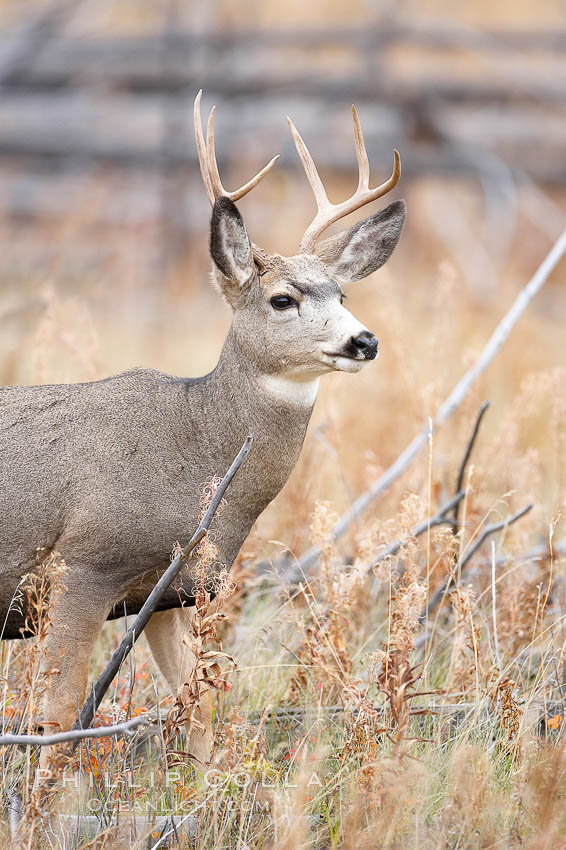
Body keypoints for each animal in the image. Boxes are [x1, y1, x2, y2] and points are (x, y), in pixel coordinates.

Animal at [1, 93, 408, 760]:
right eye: (282, 299)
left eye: (342, 292)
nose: (364, 340)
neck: (190, 448)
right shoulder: (82, 565)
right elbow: (59, 721)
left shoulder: (170, 592)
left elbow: (200, 712)